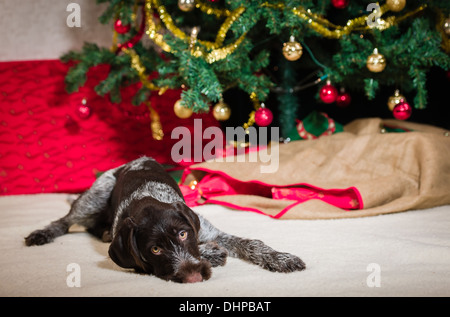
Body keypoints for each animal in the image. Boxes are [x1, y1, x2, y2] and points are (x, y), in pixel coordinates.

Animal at [24, 157, 306, 282]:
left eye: (183, 234)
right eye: (155, 250)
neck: (147, 197)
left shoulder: (208, 231)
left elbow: (252, 243)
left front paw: (282, 258)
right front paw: (212, 254)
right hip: (95, 195)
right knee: (65, 220)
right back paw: (42, 233)